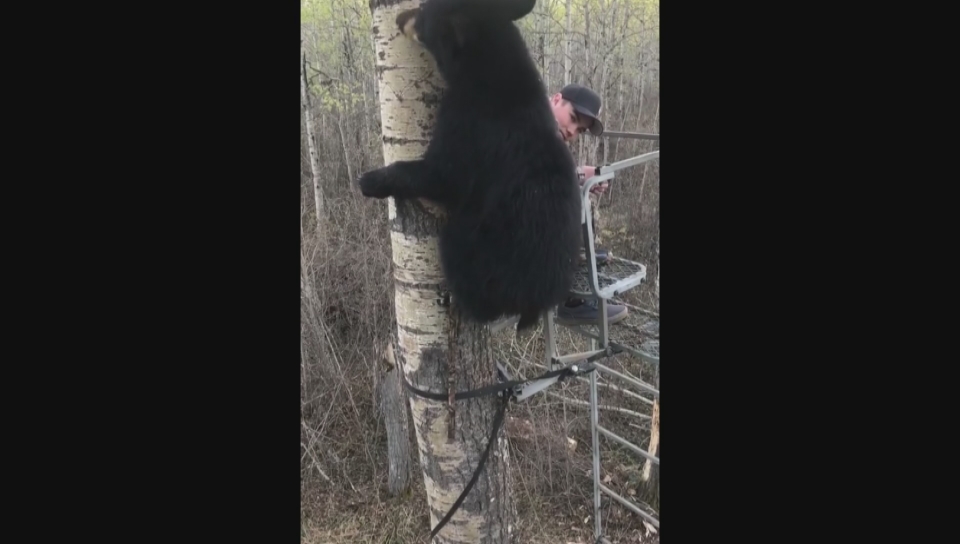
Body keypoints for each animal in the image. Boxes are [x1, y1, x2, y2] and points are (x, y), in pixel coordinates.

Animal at [360, 0, 580, 332]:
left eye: (422, 13)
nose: (399, 17)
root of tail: (537, 299)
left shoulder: (469, 123)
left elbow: (443, 175)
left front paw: (371, 180)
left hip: (480, 248)